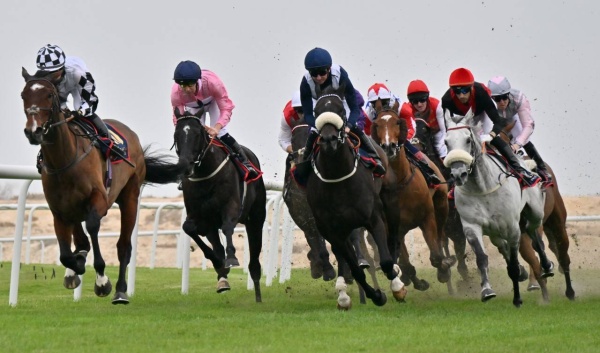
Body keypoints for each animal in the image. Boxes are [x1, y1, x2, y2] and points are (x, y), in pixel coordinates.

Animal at [22, 66, 184, 302]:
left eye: (49, 95)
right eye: (23, 95)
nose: (34, 131)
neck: (65, 160)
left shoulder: (98, 200)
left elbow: (92, 227)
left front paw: (102, 281)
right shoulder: (59, 211)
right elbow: (66, 254)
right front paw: (76, 266)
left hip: (130, 197)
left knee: (124, 246)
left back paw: (120, 290)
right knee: (82, 240)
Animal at [173, 106, 268, 300]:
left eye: (197, 134)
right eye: (176, 134)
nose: (186, 166)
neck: (205, 175)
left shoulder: (231, 207)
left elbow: (228, 227)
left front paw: (231, 258)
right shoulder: (200, 217)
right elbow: (189, 228)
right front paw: (219, 264)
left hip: (255, 219)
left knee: (254, 261)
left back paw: (257, 295)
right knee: (217, 244)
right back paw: (222, 278)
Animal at [300, 86, 404, 310]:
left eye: (340, 109)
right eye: (317, 110)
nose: (328, 140)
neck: (337, 177)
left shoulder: (373, 218)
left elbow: (385, 261)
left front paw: (396, 285)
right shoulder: (332, 230)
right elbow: (355, 269)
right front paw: (376, 295)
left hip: (387, 202)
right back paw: (343, 295)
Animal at [370, 100, 454, 290]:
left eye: (398, 122)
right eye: (377, 124)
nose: (388, 147)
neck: (399, 184)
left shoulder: (427, 217)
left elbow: (436, 256)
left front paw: (444, 271)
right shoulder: (392, 227)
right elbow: (405, 263)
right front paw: (416, 281)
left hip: (441, 203)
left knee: (440, 236)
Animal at [442, 110, 556, 306]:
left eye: (468, 140)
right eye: (446, 142)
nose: (458, 174)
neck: (482, 188)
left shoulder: (512, 227)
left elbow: (515, 259)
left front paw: (517, 297)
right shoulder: (472, 226)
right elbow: (482, 258)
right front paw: (487, 290)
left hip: (535, 213)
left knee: (535, 237)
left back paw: (547, 266)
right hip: (495, 231)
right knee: (505, 244)